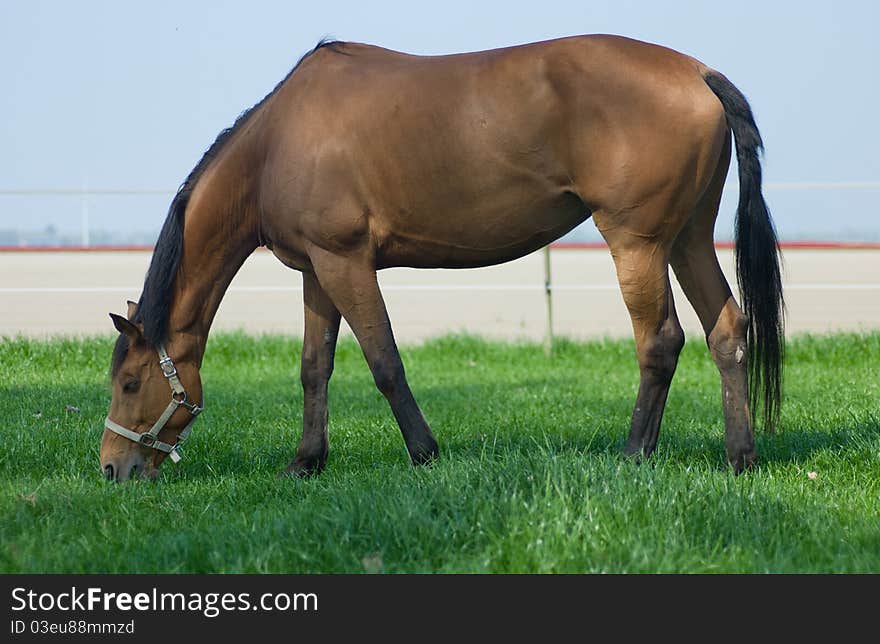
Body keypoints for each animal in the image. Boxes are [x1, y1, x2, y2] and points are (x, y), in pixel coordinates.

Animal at [99, 34, 780, 478]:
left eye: (130, 382)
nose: (111, 468)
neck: (277, 143)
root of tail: (698, 73)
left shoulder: (346, 262)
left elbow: (384, 362)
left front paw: (424, 452)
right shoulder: (317, 272)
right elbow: (314, 368)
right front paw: (306, 462)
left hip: (636, 243)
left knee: (661, 341)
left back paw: (635, 453)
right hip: (687, 239)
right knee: (727, 330)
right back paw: (740, 458)